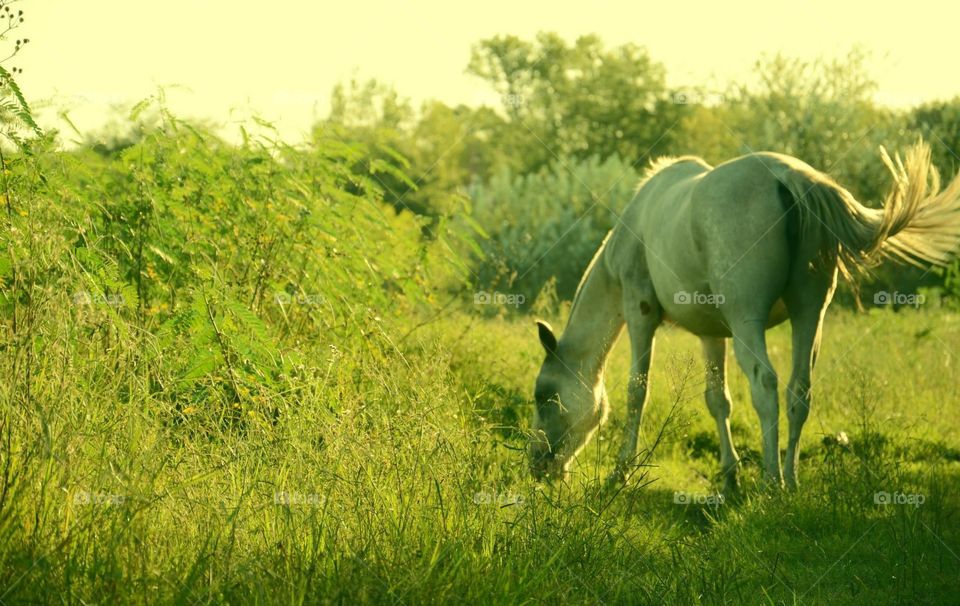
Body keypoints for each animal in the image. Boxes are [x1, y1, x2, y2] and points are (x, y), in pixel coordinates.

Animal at [528, 142, 960, 491]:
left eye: (544, 395)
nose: (538, 466)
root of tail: (790, 178)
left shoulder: (640, 314)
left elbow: (637, 391)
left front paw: (621, 472)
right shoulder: (712, 333)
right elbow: (718, 400)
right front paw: (730, 476)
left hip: (747, 321)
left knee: (765, 384)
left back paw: (772, 482)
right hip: (809, 315)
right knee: (798, 390)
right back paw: (791, 479)